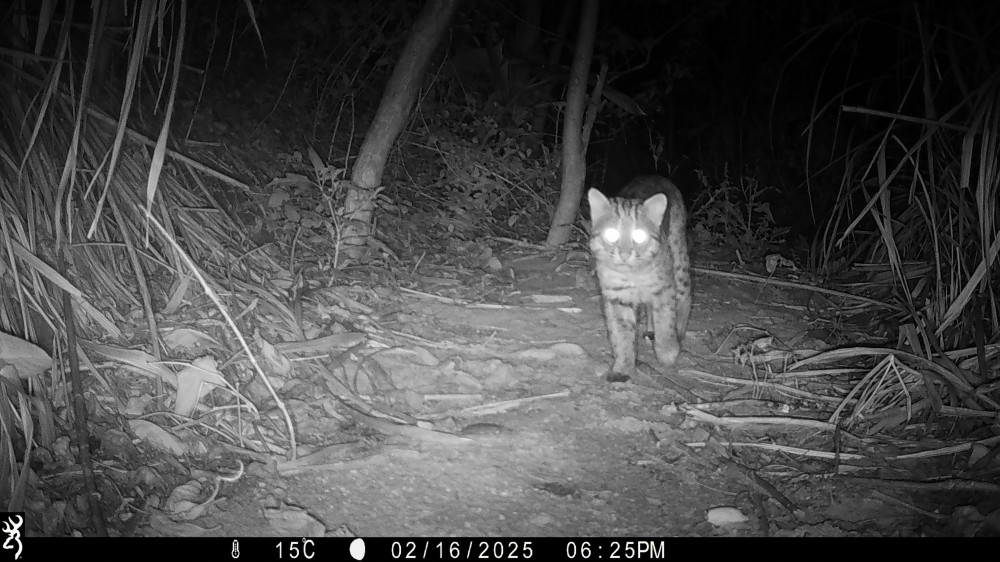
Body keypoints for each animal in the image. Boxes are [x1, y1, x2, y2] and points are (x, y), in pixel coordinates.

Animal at [588, 175, 692, 380]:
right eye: (611, 234)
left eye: (639, 235)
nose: (625, 254)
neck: (632, 273)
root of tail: (655, 175)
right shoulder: (616, 296)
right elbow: (621, 333)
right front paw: (623, 367)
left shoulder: (664, 288)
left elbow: (665, 321)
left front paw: (667, 352)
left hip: (678, 256)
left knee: (686, 294)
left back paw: (679, 333)